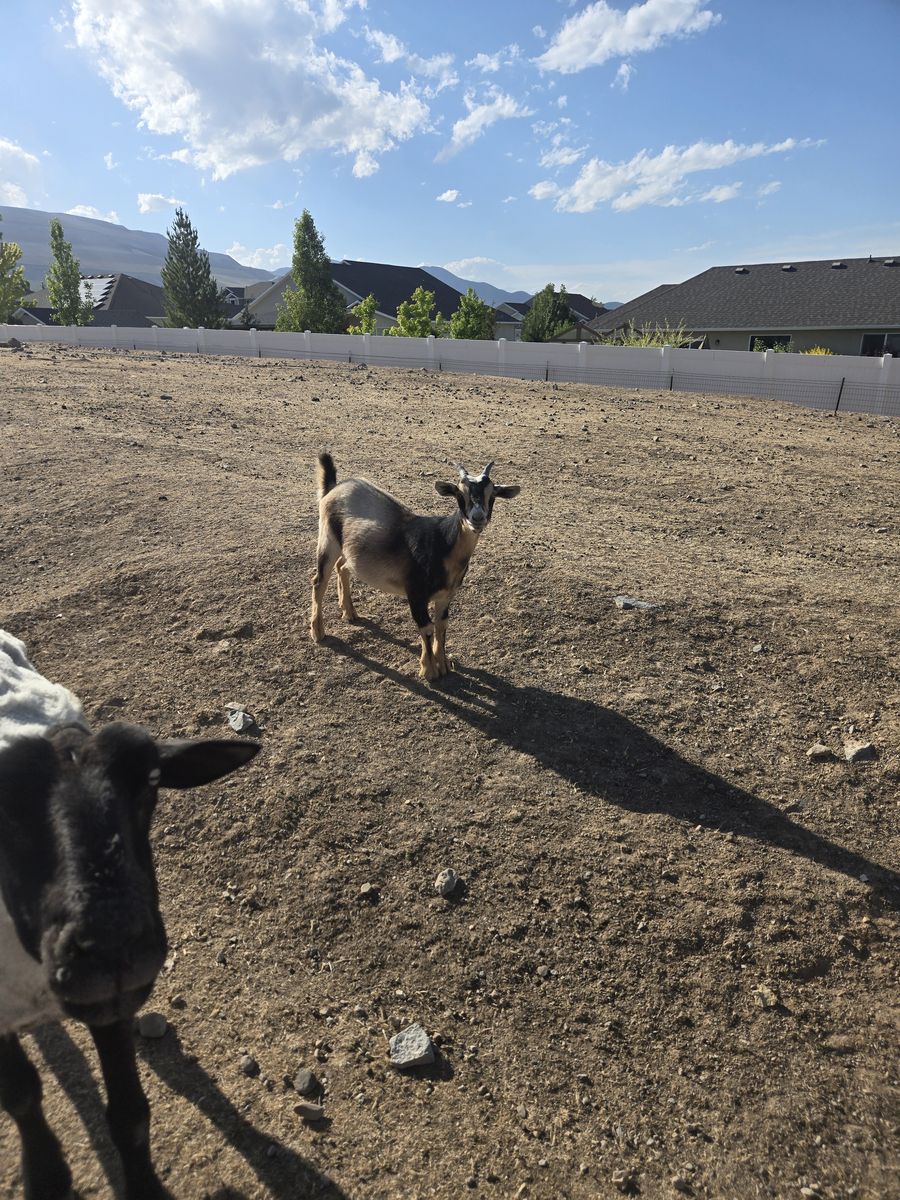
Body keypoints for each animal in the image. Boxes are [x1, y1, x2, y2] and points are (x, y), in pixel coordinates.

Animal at [0, 630, 259, 1200]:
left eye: (152, 781)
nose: (113, 949)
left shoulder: (111, 1008)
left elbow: (130, 1115)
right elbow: (22, 1094)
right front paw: (46, 1174)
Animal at [310, 454, 520, 679]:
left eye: (493, 494)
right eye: (459, 493)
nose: (477, 517)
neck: (441, 543)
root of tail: (334, 487)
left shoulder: (446, 595)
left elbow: (441, 625)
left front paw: (443, 664)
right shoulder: (416, 593)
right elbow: (426, 627)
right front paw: (429, 670)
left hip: (349, 550)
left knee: (342, 567)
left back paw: (349, 612)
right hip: (328, 539)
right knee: (319, 582)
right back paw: (318, 632)